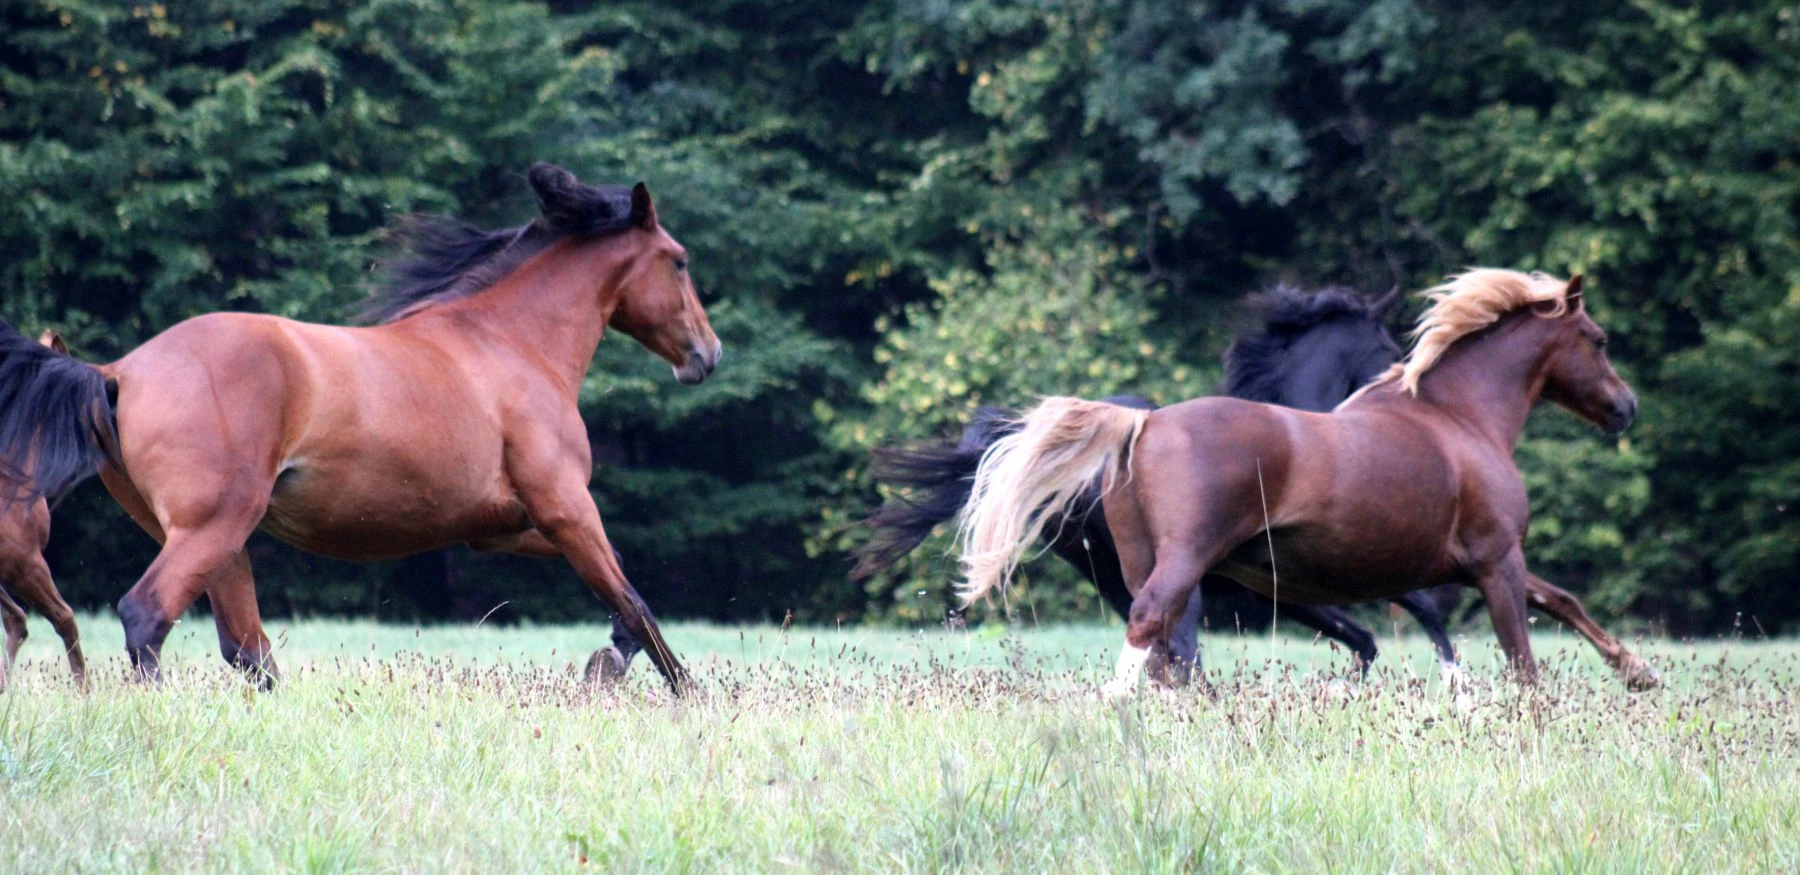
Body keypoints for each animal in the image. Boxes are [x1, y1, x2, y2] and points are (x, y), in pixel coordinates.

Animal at [0, 160, 720, 687]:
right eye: (680, 260)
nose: (707, 355)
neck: (509, 343)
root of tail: (118, 371)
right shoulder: (566, 507)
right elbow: (635, 602)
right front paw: (682, 695)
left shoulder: (505, 527)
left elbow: (621, 585)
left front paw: (609, 659)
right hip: (212, 527)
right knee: (149, 616)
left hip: (219, 541)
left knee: (247, 650)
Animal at [849, 286, 1468, 676]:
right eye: (1388, 347)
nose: (1408, 389)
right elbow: (1418, 609)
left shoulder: (1286, 590)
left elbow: (1367, 640)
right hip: (1176, 580)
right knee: (1183, 658)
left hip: (1119, 580)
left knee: (1164, 658)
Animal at [957, 270, 1656, 694]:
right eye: (1598, 340)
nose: (1626, 408)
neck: (1459, 417)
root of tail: (1143, 423)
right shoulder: (1494, 559)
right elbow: (1521, 658)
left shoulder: (1468, 564)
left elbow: (1560, 600)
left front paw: (1638, 670)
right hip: (1183, 563)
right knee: (1152, 630)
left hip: (1138, 564)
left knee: (1162, 649)